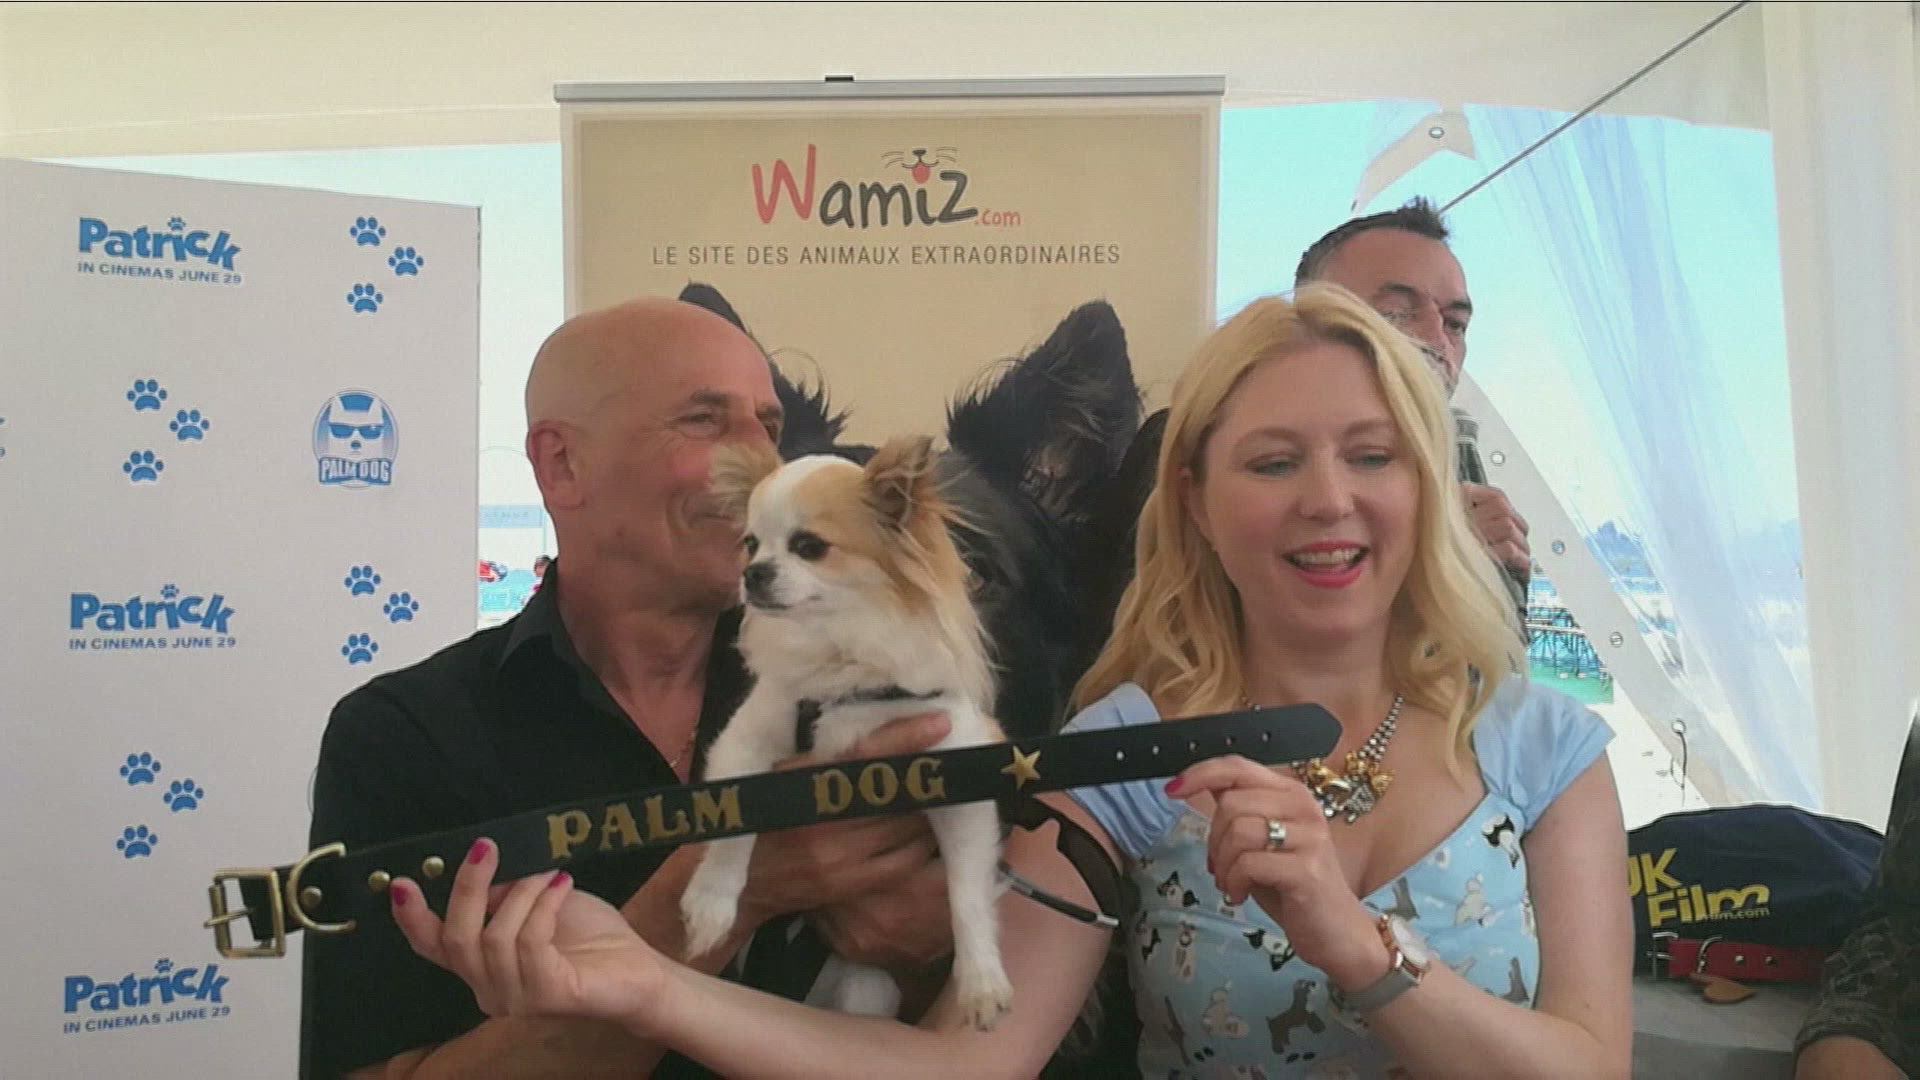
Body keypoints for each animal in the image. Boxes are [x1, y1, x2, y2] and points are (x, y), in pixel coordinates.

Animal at [679, 433, 1014, 1029]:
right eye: (749, 544)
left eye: (809, 546)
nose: (753, 572)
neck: (843, 663)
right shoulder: (745, 742)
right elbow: (734, 826)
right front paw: (712, 903)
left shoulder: (959, 790)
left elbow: (967, 895)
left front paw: (980, 981)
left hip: (867, 988)